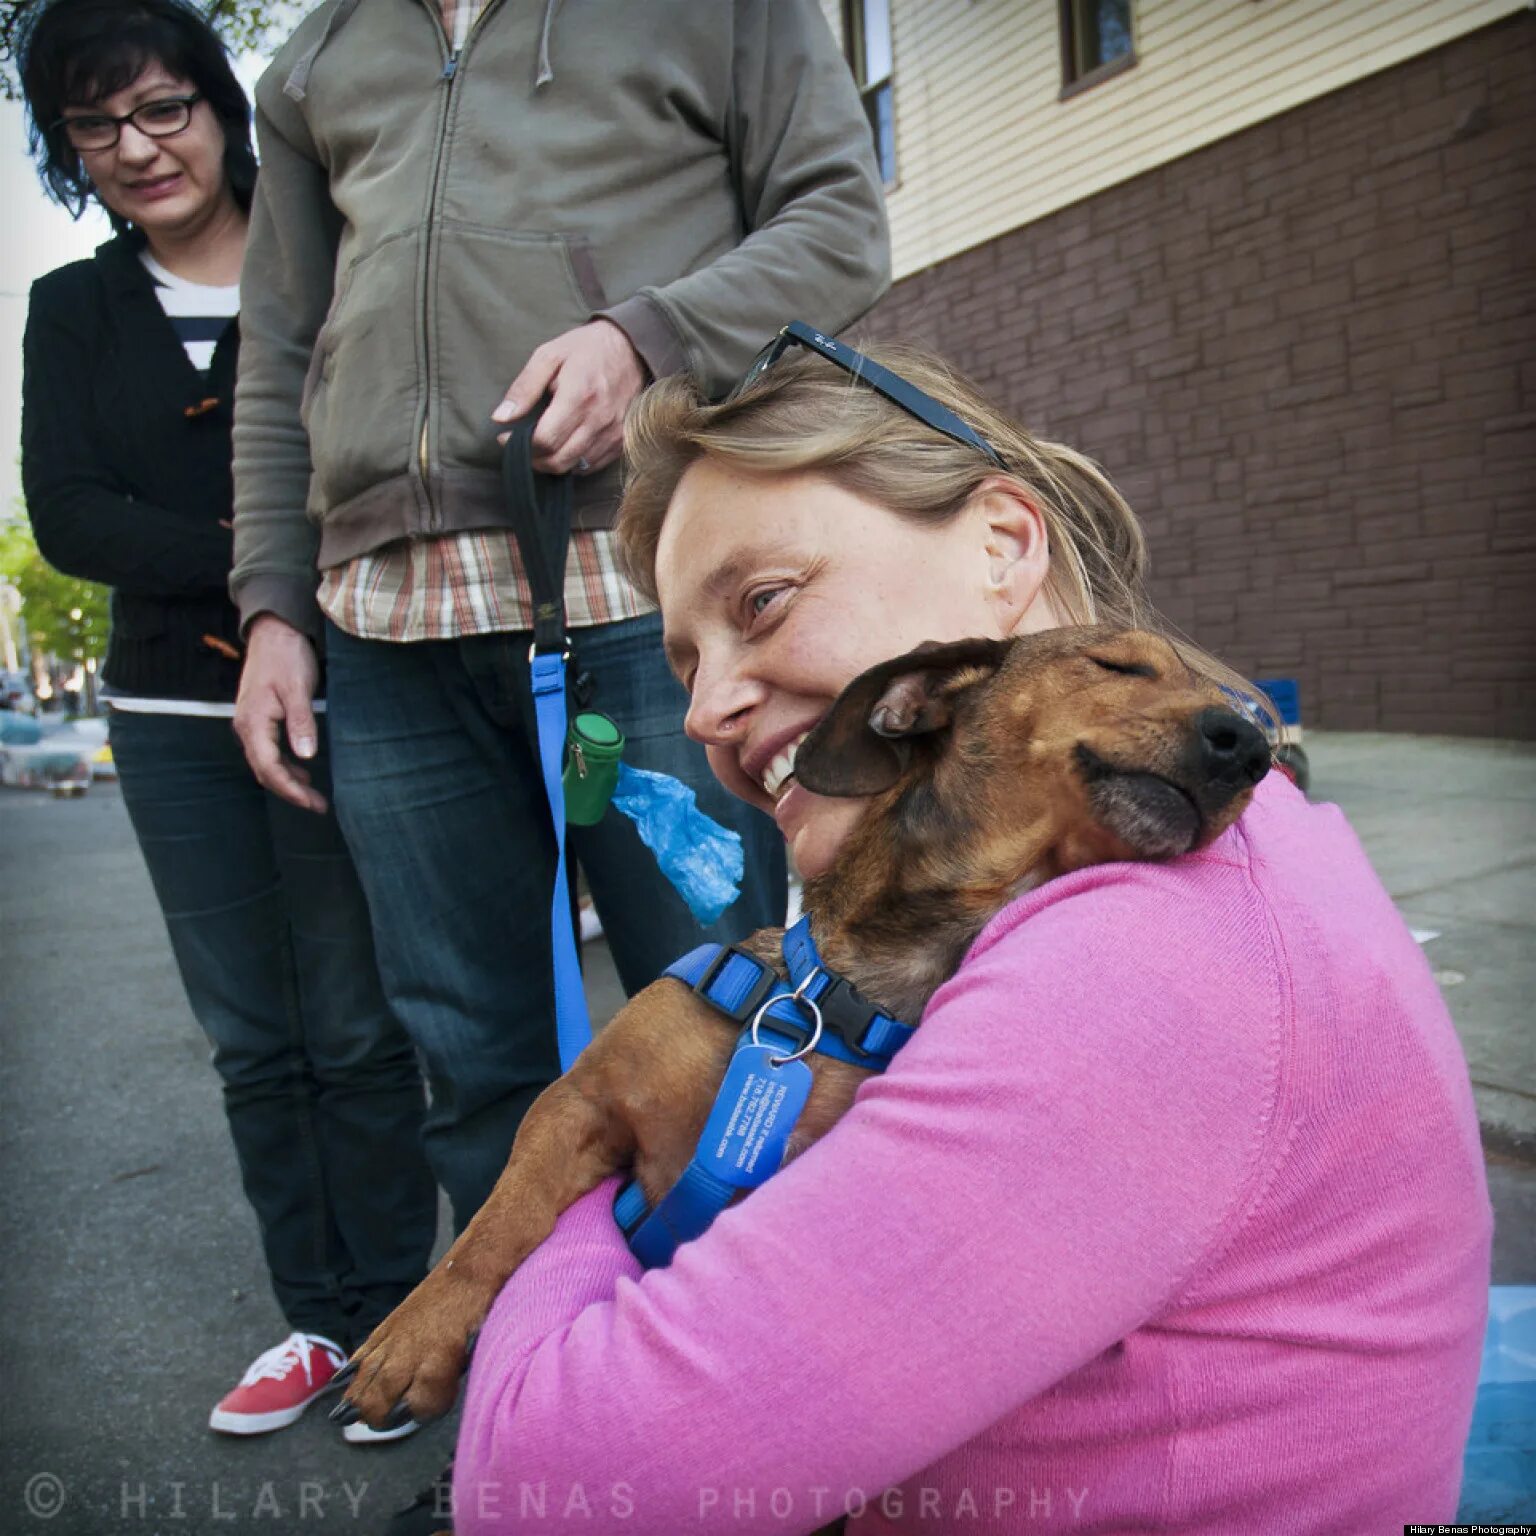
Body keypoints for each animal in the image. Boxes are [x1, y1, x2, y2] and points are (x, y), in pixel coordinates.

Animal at [336, 620, 1271, 1425]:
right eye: (1118, 664)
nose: (1254, 749)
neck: (834, 1001)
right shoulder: (577, 1103)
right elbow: (495, 1225)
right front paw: (411, 1338)